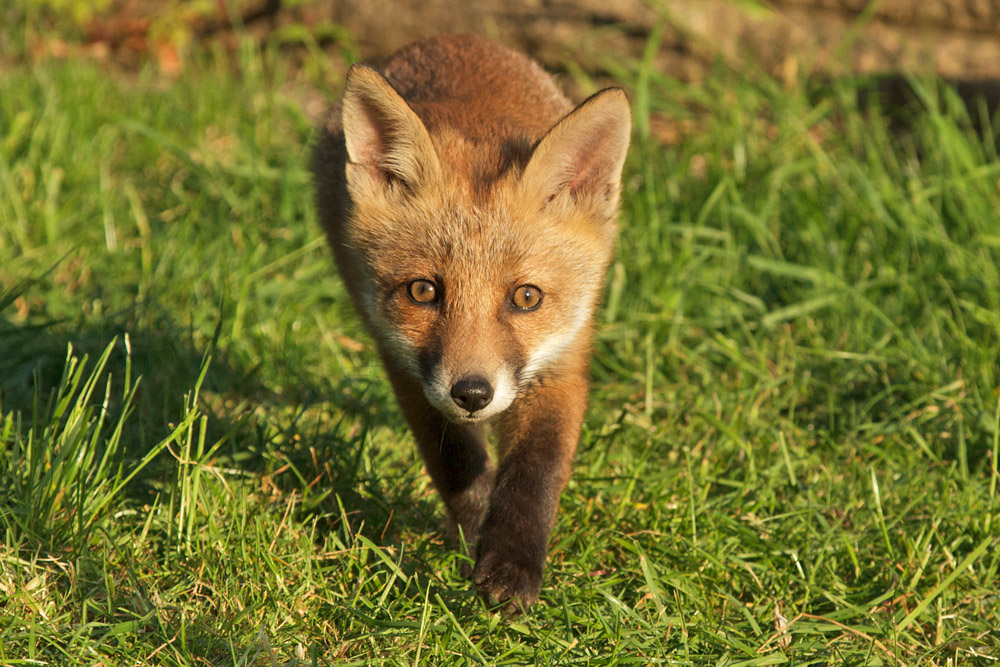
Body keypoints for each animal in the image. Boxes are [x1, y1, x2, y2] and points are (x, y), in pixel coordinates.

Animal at [311, 33, 630, 614]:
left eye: (526, 297)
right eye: (423, 291)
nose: (473, 393)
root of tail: (454, 39)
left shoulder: (562, 359)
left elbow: (536, 472)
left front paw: (511, 564)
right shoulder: (406, 365)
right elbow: (455, 462)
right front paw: (477, 532)